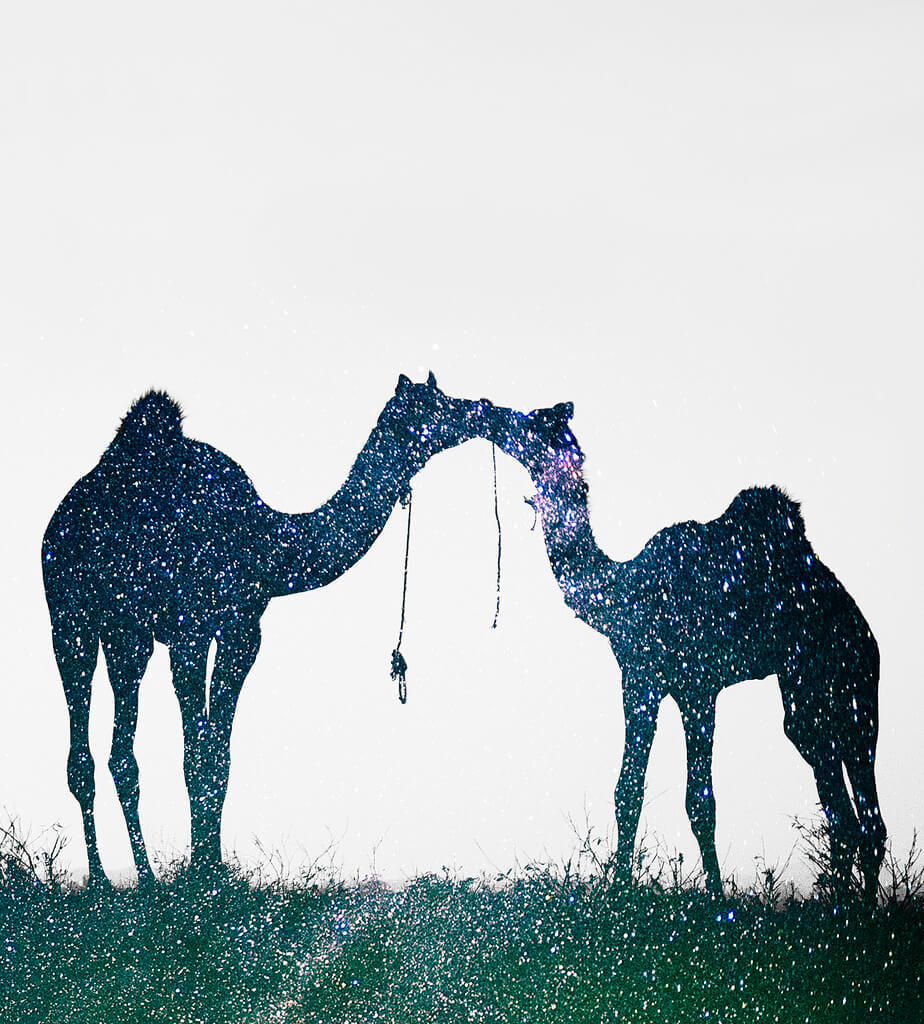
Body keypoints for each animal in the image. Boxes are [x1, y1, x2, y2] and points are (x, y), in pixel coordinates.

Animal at [42, 374, 491, 884]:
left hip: (126, 633)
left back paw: (145, 877)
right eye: (434, 404)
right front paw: (200, 877)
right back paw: (102, 880)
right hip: (69, 616)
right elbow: (196, 754)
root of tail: (59, 520)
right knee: (81, 754)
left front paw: (211, 866)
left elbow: (218, 756)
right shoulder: (189, 631)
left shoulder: (242, 630)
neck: (267, 543)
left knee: (122, 753)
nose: (480, 408)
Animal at [480, 400, 885, 900]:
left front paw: (716, 900)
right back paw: (847, 905)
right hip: (810, 685)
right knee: (839, 794)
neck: (627, 589)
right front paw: (620, 893)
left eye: (533, 419)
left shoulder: (698, 686)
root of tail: (862, 628)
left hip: (843, 673)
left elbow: (700, 801)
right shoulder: (638, 680)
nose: (493, 414)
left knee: (855, 794)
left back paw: (859, 908)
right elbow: (627, 791)